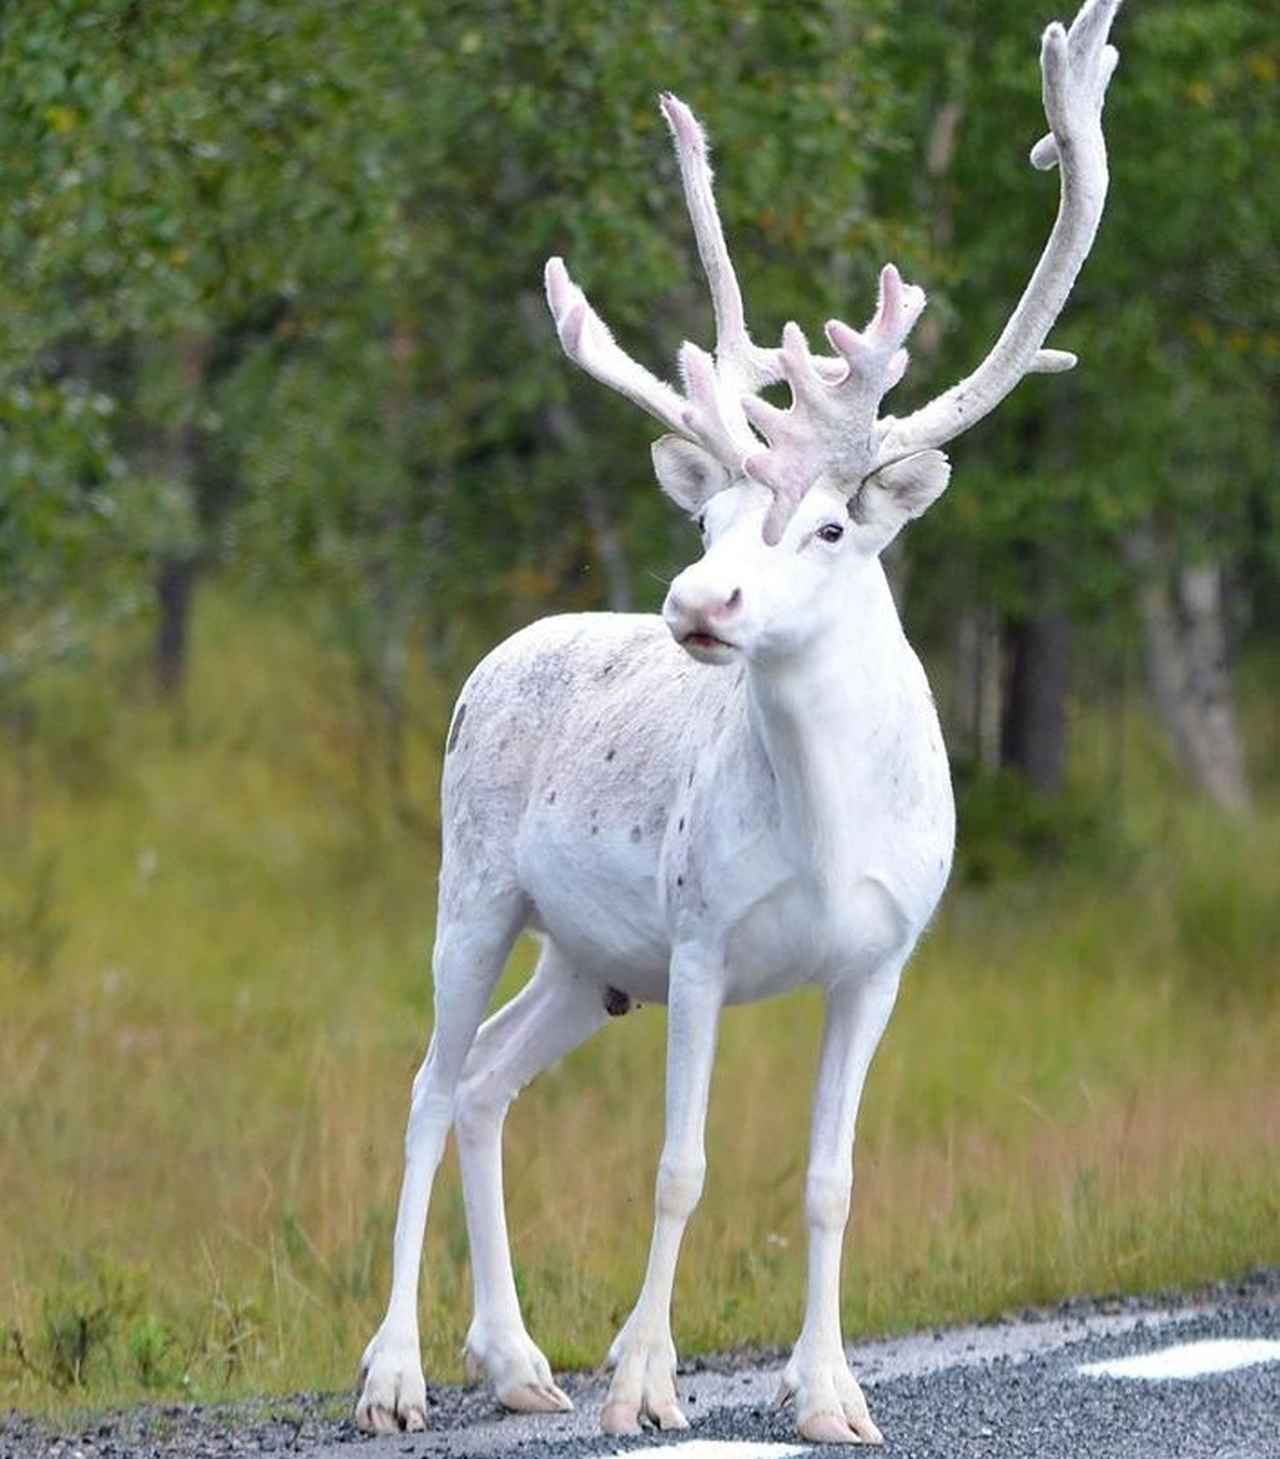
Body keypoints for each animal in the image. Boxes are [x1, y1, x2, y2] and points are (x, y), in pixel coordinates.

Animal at [355, 0, 1121, 1443]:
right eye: (707, 517)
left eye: (826, 527)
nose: (696, 601)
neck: (823, 831)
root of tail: (493, 657)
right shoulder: (702, 936)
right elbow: (679, 1162)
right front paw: (645, 1381)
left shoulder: (879, 959)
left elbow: (830, 1177)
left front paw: (827, 1392)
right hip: (472, 885)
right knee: (426, 1079)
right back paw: (396, 1375)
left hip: (588, 960)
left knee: (484, 1078)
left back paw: (519, 1357)